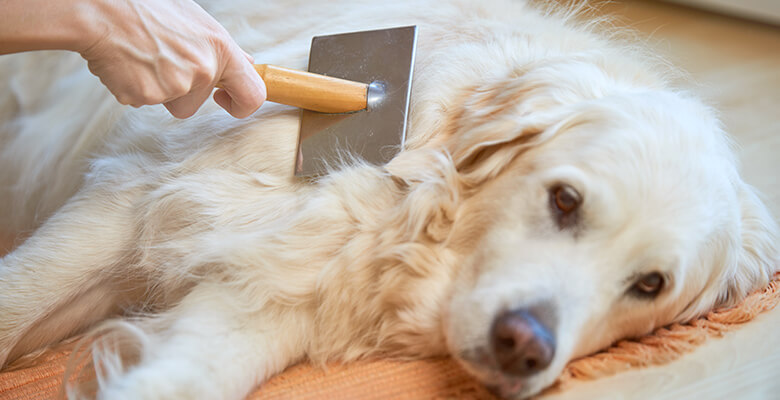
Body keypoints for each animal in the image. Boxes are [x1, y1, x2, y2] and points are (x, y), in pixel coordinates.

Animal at [0, 0, 776, 398]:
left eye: (650, 285)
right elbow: (19, 298)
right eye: (564, 201)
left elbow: (195, 373)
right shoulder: (135, 197)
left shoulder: (278, 284)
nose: (524, 346)